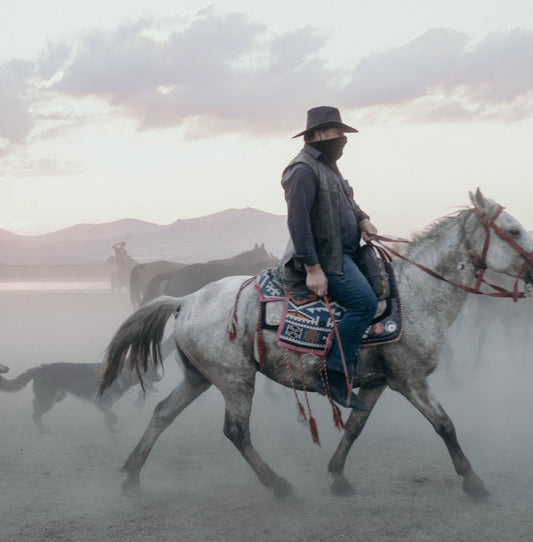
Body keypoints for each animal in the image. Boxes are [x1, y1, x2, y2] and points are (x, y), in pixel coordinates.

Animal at [1, 364, 161, 436]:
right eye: (149, 369)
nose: (160, 377)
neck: (122, 375)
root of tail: (40, 368)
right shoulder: (100, 402)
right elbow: (114, 417)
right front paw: (111, 426)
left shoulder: (106, 405)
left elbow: (109, 418)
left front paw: (111, 429)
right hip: (50, 400)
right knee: (36, 413)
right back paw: (42, 430)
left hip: (57, 397)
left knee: (35, 405)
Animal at [98, 191, 532, 502]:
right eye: (512, 230)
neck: (415, 295)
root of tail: (185, 300)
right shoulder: (410, 380)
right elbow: (445, 425)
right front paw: (473, 482)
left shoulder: (375, 383)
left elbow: (355, 427)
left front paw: (338, 476)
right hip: (236, 380)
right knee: (236, 431)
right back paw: (279, 485)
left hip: (199, 377)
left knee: (163, 413)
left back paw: (132, 476)